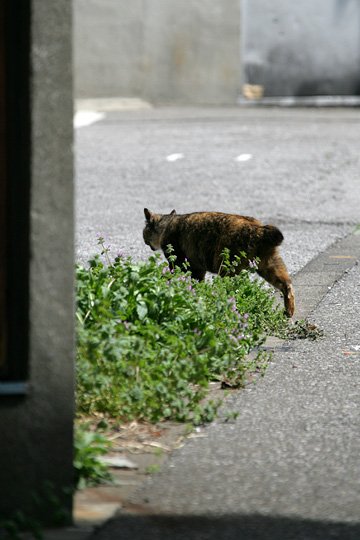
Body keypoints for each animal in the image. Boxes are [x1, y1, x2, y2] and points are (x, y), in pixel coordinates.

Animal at [143, 207, 296, 316]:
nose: (145, 241)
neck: (167, 224)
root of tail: (259, 228)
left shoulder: (178, 262)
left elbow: (170, 276)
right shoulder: (198, 268)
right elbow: (197, 283)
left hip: (227, 266)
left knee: (231, 290)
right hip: (269, 265)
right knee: (287, 285)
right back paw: (289, 311)